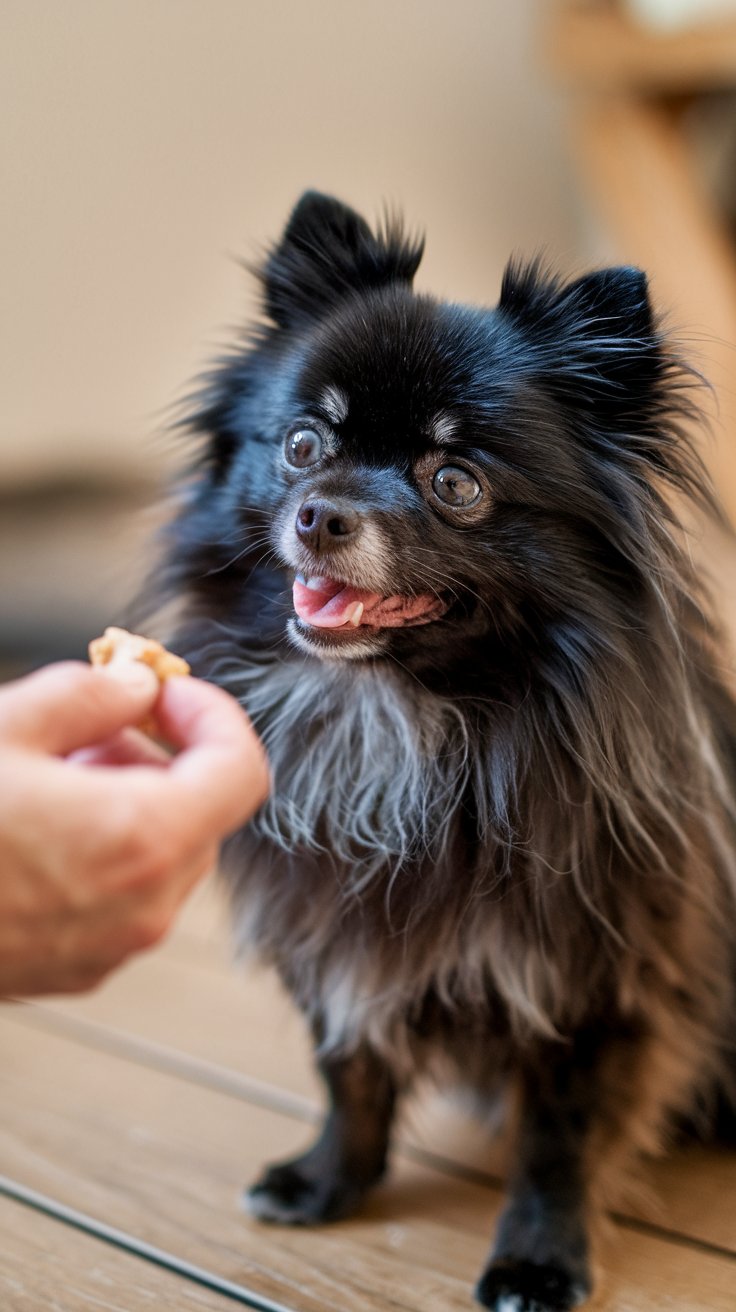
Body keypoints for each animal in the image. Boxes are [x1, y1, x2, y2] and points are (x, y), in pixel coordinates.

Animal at [149, 194, 734, 1312]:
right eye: (301, 444)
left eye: (455, 481)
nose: (319, 513)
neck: (400, 720)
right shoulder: (335, 937)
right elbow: (351, 1071)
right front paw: (329, 1180)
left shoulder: (591, 981)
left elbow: (558, 1141)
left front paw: (537, 1260)